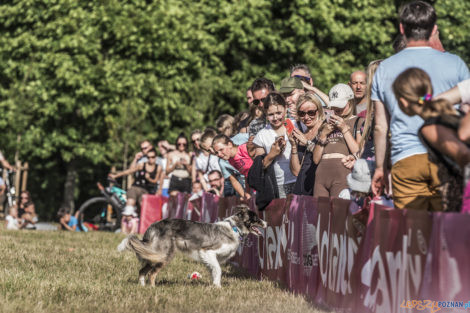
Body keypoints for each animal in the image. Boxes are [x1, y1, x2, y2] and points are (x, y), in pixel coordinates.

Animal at [117, 204, 266, 286]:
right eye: (256, 219)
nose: (266, 223)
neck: (235, 228)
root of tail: (154, 225)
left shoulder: (210, 258)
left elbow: (214, 272)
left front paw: (215, 286)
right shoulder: (208, 251)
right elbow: (218, 270)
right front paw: (218, 287)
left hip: (154, 254)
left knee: (142, 271)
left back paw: (143, 288)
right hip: (164, 254)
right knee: (152, 274)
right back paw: (153, 289)